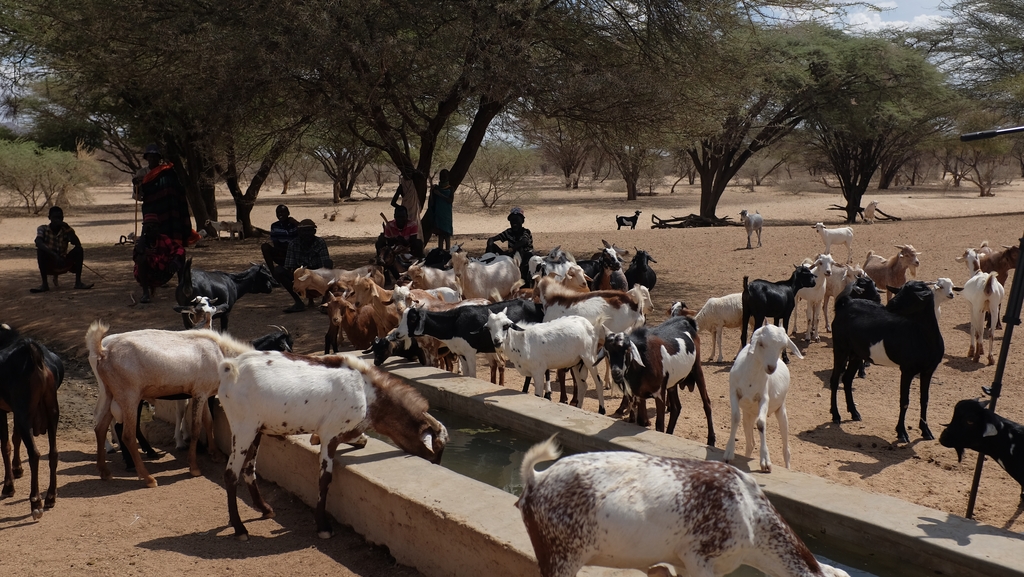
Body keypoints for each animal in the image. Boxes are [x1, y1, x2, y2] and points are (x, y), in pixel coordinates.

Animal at [0, 325, 63, 518]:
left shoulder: (4, 410)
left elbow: (5, 445)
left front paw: (8, 486)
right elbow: (15, 439)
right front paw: (17, 469)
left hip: (24, 414)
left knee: (34, 453)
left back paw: (35, 502)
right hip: (52, 413)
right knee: (53, 452)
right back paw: (50, 496)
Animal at [220, 352, 448, 541]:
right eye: (436, 449)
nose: (436, 464)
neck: (368, 392)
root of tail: (230, 367)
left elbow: (359, 441)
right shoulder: (330, 434)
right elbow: (325, 479)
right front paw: (323, 527)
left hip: (256, 430)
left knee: (249, 469)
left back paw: (265, 509)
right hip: (244, 429)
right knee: (231, 473)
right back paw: (240, 529)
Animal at [724, 325, 802, 473]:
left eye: (782, 346)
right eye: (761, 343)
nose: (771, 368)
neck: (750, 376)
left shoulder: (764, 398)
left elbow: (761, 423)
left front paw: (765, 461)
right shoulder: (733, 392)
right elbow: (735, 417)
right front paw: (729, 453)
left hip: (781, 409)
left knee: (786, 450)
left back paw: (788, 468)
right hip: (748, 415)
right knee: (750, 443)